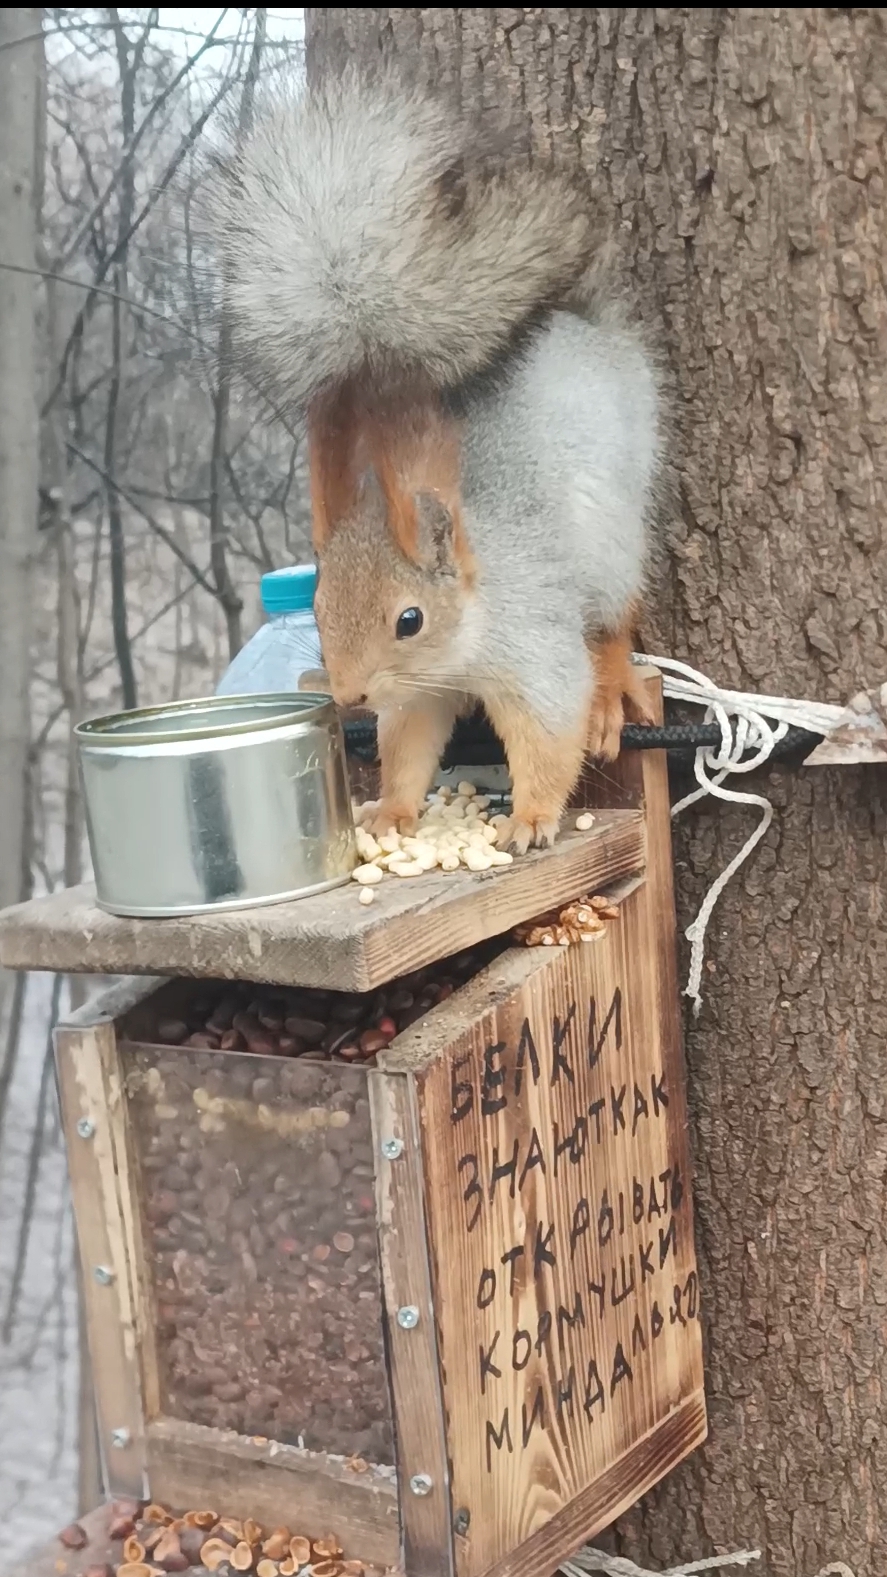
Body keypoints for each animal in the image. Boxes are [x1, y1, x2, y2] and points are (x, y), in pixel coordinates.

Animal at [208, 64, 662, 851]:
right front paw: (392, 812)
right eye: (318, 610)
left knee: (614, 615)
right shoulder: (416, 695)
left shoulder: (532, 647)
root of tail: (580, 325)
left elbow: (549, 732)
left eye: (409, 619)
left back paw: (611, 684)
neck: (461, 644)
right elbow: (408, 748)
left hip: (612, 523)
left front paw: (532, 817)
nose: (349, 692)